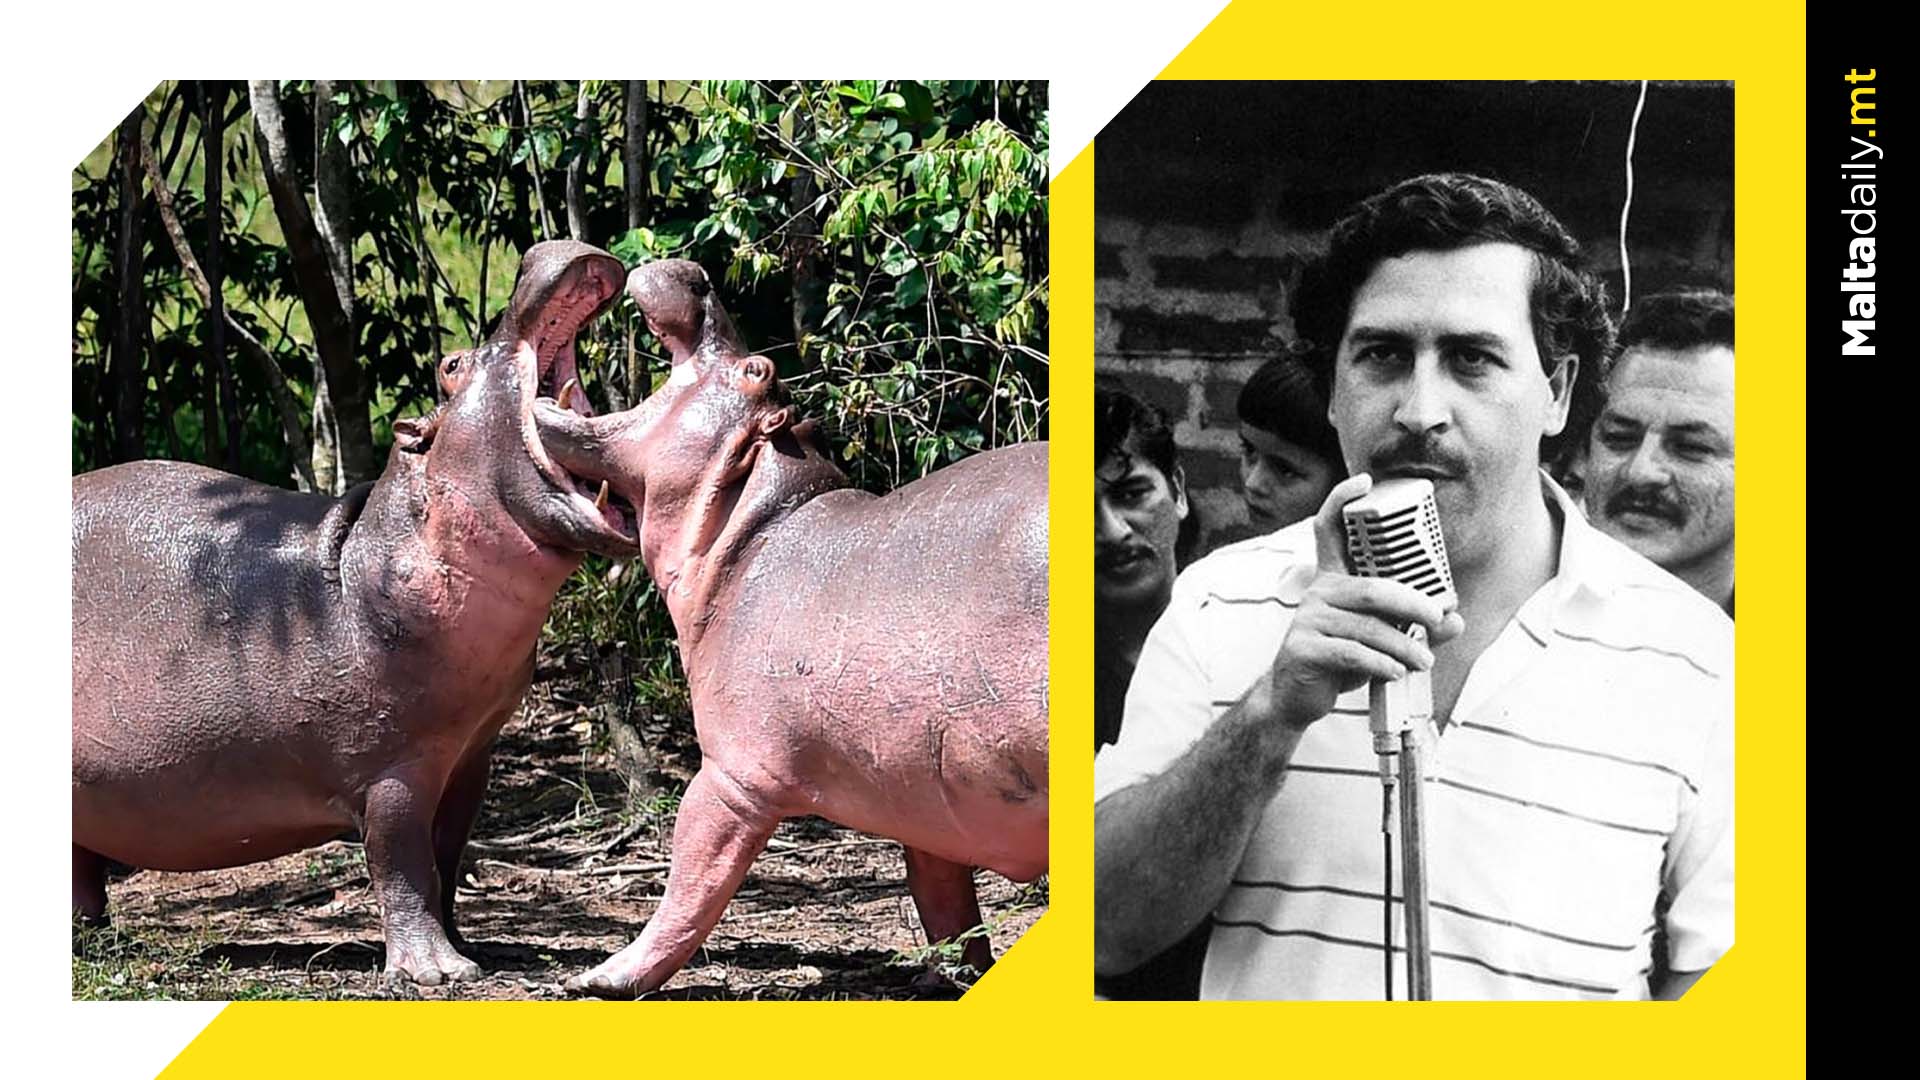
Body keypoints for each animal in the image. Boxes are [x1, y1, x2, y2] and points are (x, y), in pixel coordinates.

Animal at [71, 241, 639, 986]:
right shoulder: (391, 768)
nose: (541, 254)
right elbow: (402, 866)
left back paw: (97, 940)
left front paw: (474, 950)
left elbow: (447, 861)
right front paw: (437, 974)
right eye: (451, 365)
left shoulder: (470, 757)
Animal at [531, 260, 1049, 997]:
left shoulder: (730, 777)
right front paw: (955, 979)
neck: (755, 523)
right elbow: (943, 900)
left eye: (755, 370)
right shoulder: (922, 796)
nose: (695, 273)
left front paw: (600, 979)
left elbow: (688, 884)